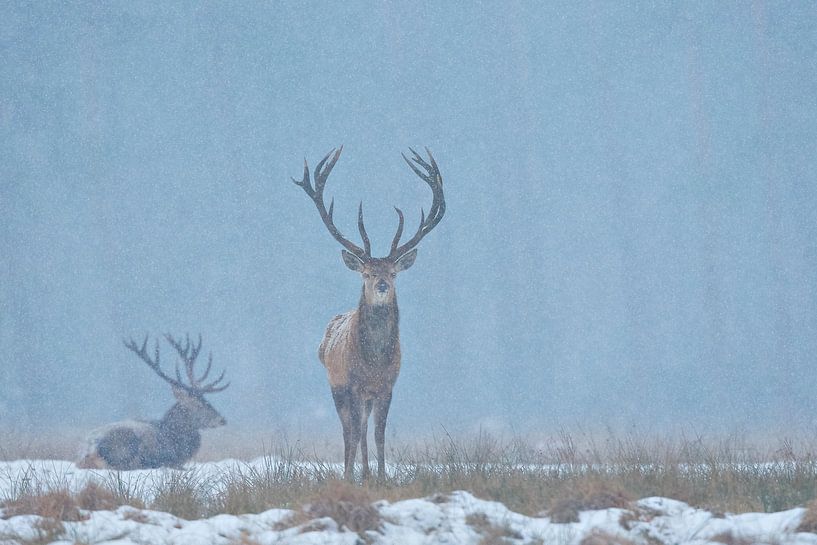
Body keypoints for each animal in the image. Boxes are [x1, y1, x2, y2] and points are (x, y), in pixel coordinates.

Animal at [294, 147, 446, 478]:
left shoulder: (387, 386)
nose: (381, 285)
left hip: (366, 396)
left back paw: (365, 472)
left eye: (393, 272)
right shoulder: (351, 385)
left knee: (363, 429)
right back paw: (353, 472)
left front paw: (381, 476)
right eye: (365, 272)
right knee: (349, 430)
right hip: (337, 387)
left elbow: (379, 434)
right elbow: (353, 433)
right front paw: (351, 476)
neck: (374, 363)